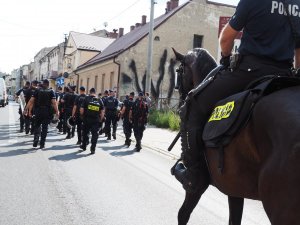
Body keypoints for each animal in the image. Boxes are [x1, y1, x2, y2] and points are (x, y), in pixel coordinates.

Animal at [172, 47, 300, 223]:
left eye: (178, 72)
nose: (179, 104)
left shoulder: (196, 188)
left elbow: (183, 213)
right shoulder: (234, 189)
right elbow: (234, 219)